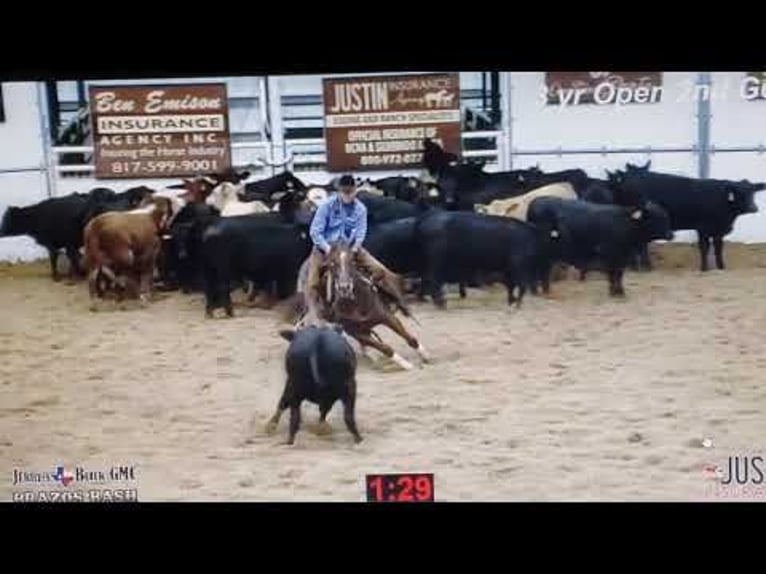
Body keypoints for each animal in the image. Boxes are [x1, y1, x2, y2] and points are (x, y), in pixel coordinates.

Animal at [414, 210, 552, 308]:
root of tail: (425, 220)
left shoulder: (510, 267)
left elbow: (511, 284)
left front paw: (512, 301)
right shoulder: (518, 263)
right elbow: (519, 284)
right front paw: (516, 304)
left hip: (429, 260)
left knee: (426, 277)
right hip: (437, 260)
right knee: (433, 279)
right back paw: (441, 304)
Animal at [532, 197, 676, 296]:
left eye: (665, 216)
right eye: (657, 218)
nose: (671, 234)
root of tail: (537, 202)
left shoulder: (622, 257)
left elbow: (619, 274)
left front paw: (619, 291)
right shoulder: (610, 255)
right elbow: (613, 274)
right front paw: (614, 292)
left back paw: (545, 290)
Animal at [608, 169, 764, 272]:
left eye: (752, 192)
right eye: (739, 192)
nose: (753, 207)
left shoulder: (719, 230)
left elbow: (719, 248)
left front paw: (721, 267)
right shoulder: (703, 228)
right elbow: (704, 247)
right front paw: (704, 268)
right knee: (640, 245)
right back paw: (644, 267)